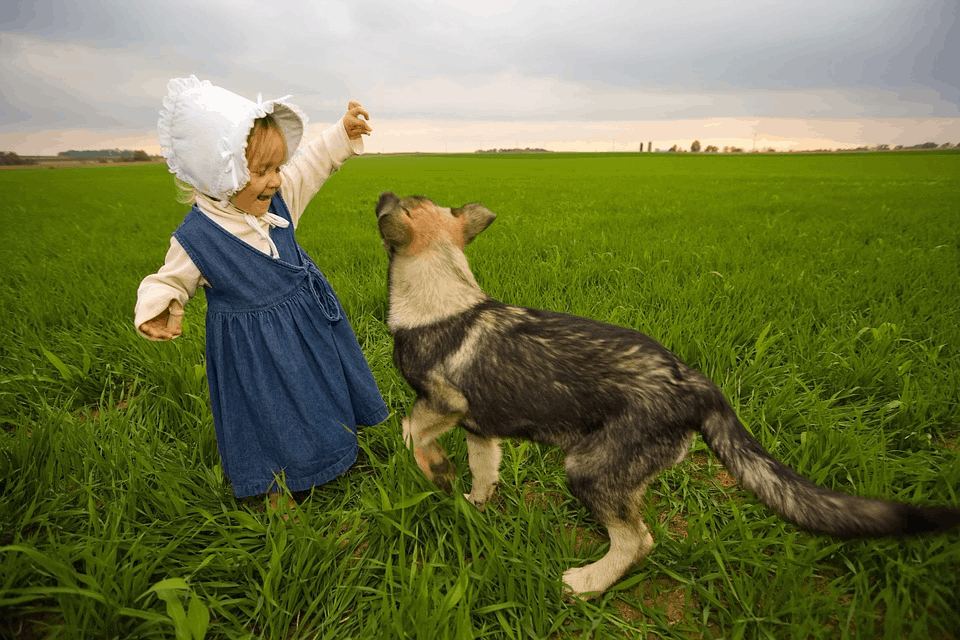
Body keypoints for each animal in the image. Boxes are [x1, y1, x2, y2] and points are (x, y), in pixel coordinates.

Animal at [374, 192, 960, 596]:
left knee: (639, 541)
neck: (443, 291)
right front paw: (470, 501)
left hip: (589, 469)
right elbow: (483, 470)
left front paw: (433, 471)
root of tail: (699, 385)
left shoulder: (444, 403)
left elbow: (409, 430)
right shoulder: (480, 427)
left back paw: (587, 584)